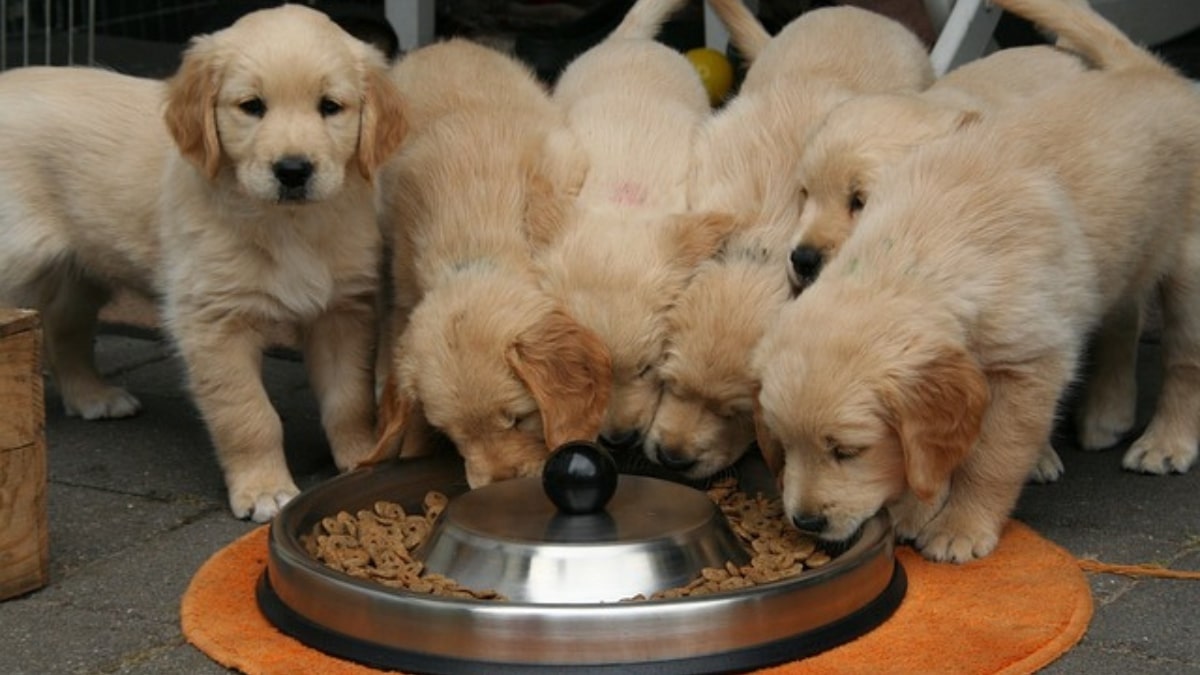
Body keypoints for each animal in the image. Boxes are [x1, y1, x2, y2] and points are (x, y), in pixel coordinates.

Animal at [0, 3, 408, 521]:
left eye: (330, 106)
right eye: (252, 106)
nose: (293, 170)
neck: (287, 225)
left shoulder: (342, 311)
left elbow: (348, 399)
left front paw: (361, 457)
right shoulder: (213, 321)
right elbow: (248, 414)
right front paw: (264, 488)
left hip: (80, 268)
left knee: (62, 326)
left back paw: (93, 395)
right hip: (20, 257)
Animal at [367, 38, 609, 487]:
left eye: (518, 418)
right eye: (451, 433)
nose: (500, 483)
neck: (474, 250)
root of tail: (444, 43)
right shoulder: (405, 283)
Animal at [753, 0, 1200, 559]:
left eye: (848, 451)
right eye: (784, 444)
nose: (806, 521)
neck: (918, 252)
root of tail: (1152, 72)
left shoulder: (1030, 364)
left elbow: (991, 456)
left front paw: (960, 525)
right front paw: (918, 507)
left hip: (1188, 268)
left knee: (1184, 362)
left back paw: (1166, 442)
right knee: (1123, 314)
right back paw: (1107, 412)